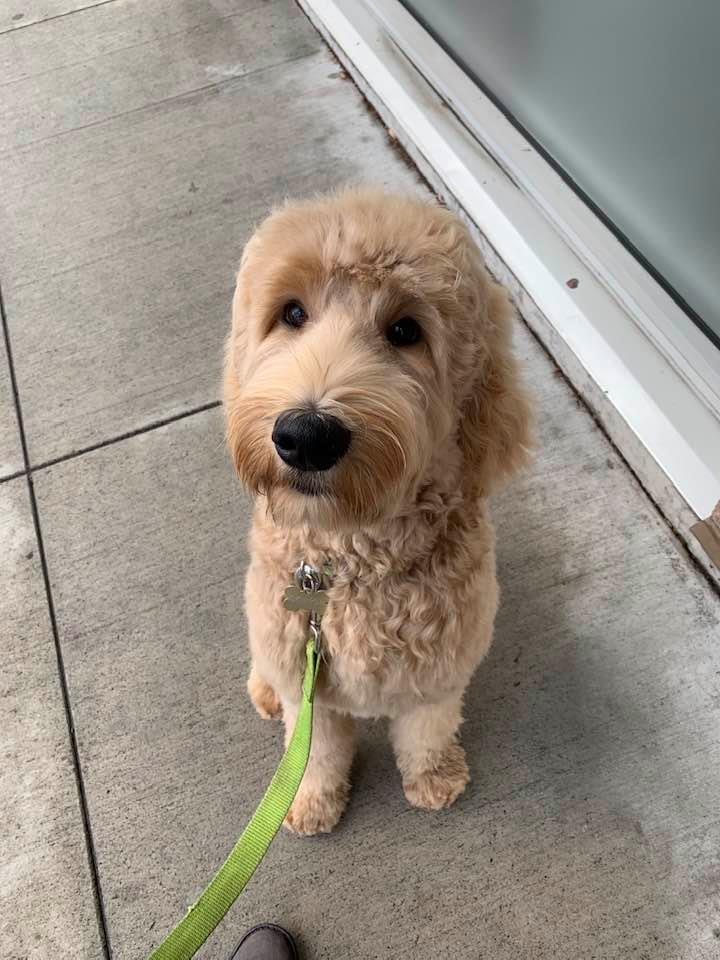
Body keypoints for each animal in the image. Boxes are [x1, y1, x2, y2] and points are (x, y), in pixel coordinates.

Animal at [224, 187, 532, 835]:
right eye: (292, 313)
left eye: (405, 330)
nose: (306, 436)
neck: (351, 563)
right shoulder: (307, 682)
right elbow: (314, 749)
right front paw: (310, 800)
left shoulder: (438, 673)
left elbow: (426, 730)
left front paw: (434, 778)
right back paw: (262, 690)